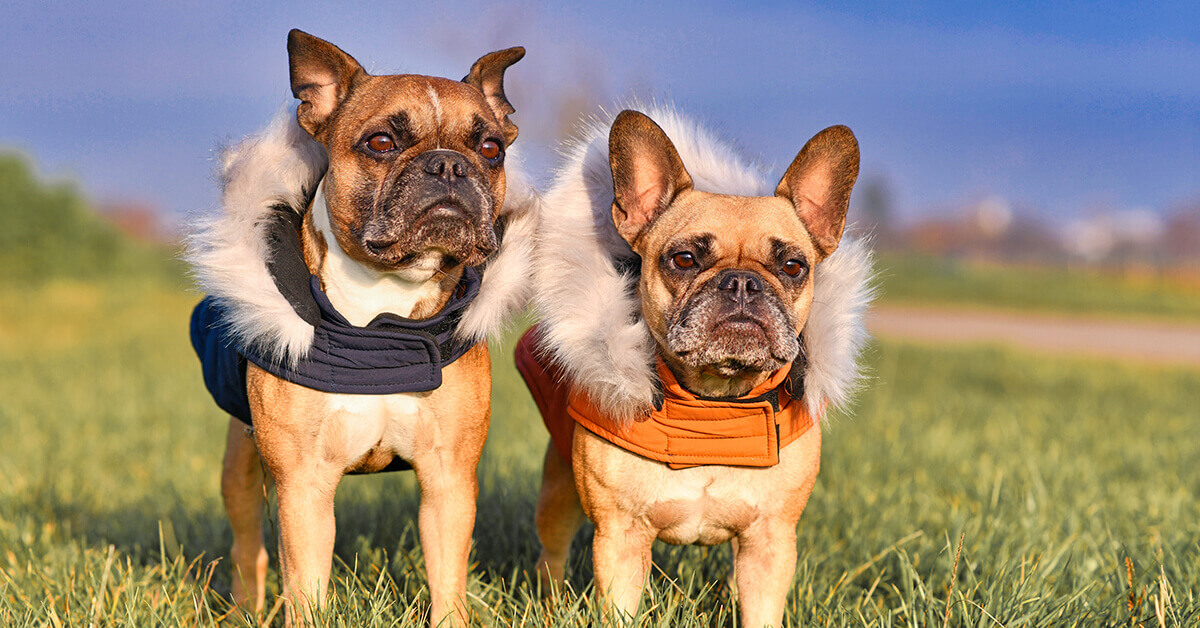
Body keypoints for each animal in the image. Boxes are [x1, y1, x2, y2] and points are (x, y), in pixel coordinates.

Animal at [187, 30, 535, 628]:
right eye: (380, 142)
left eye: (491, 149)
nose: (449, 166)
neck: (380, 319)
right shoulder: (302, 486)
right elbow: (305, 586)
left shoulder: (448, 482)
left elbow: (448, 581)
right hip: (241, 465)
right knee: (247, 545)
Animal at [516, 109, 873, 628]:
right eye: (684, 259)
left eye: (792, 266)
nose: (742, 283)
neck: (713, 407)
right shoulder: (620, 538)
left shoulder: (770, 541)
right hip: (558, 491)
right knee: (553, 553)